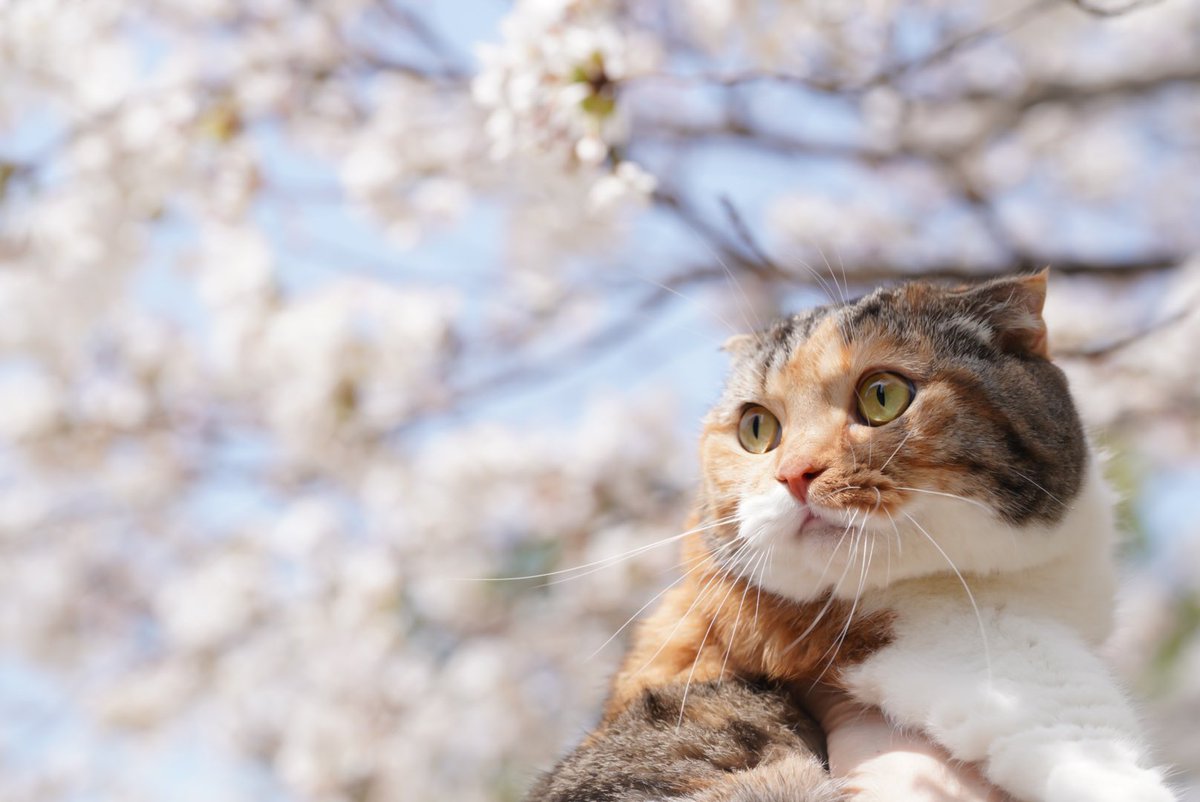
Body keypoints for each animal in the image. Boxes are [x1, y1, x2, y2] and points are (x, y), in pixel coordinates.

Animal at [530, 271, 1176, 802]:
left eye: (882, 395)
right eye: (756, 428)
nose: (795, 473)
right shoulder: (906, 630)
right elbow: (1057, 697)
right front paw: (1119, 778)